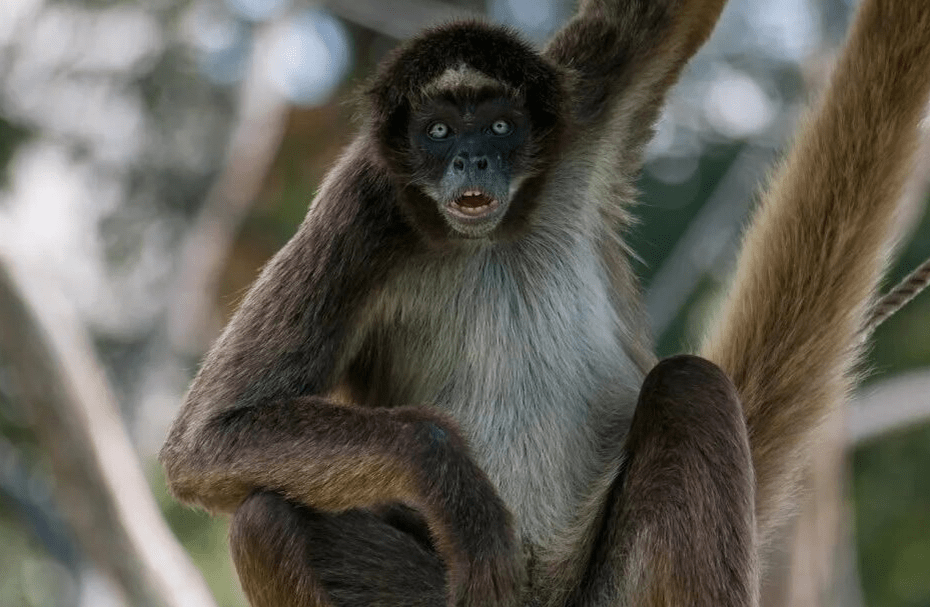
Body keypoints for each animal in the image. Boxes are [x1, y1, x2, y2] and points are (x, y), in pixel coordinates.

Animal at [161, 1, 930, 607]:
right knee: (264, 522)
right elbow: (204, 442)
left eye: (500, 126)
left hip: (618, 590)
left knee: (688, 385)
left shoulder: (588, 99)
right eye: (438, 130)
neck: (488, 237)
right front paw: (455, 484)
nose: (473, 159)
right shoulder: (363, 206)